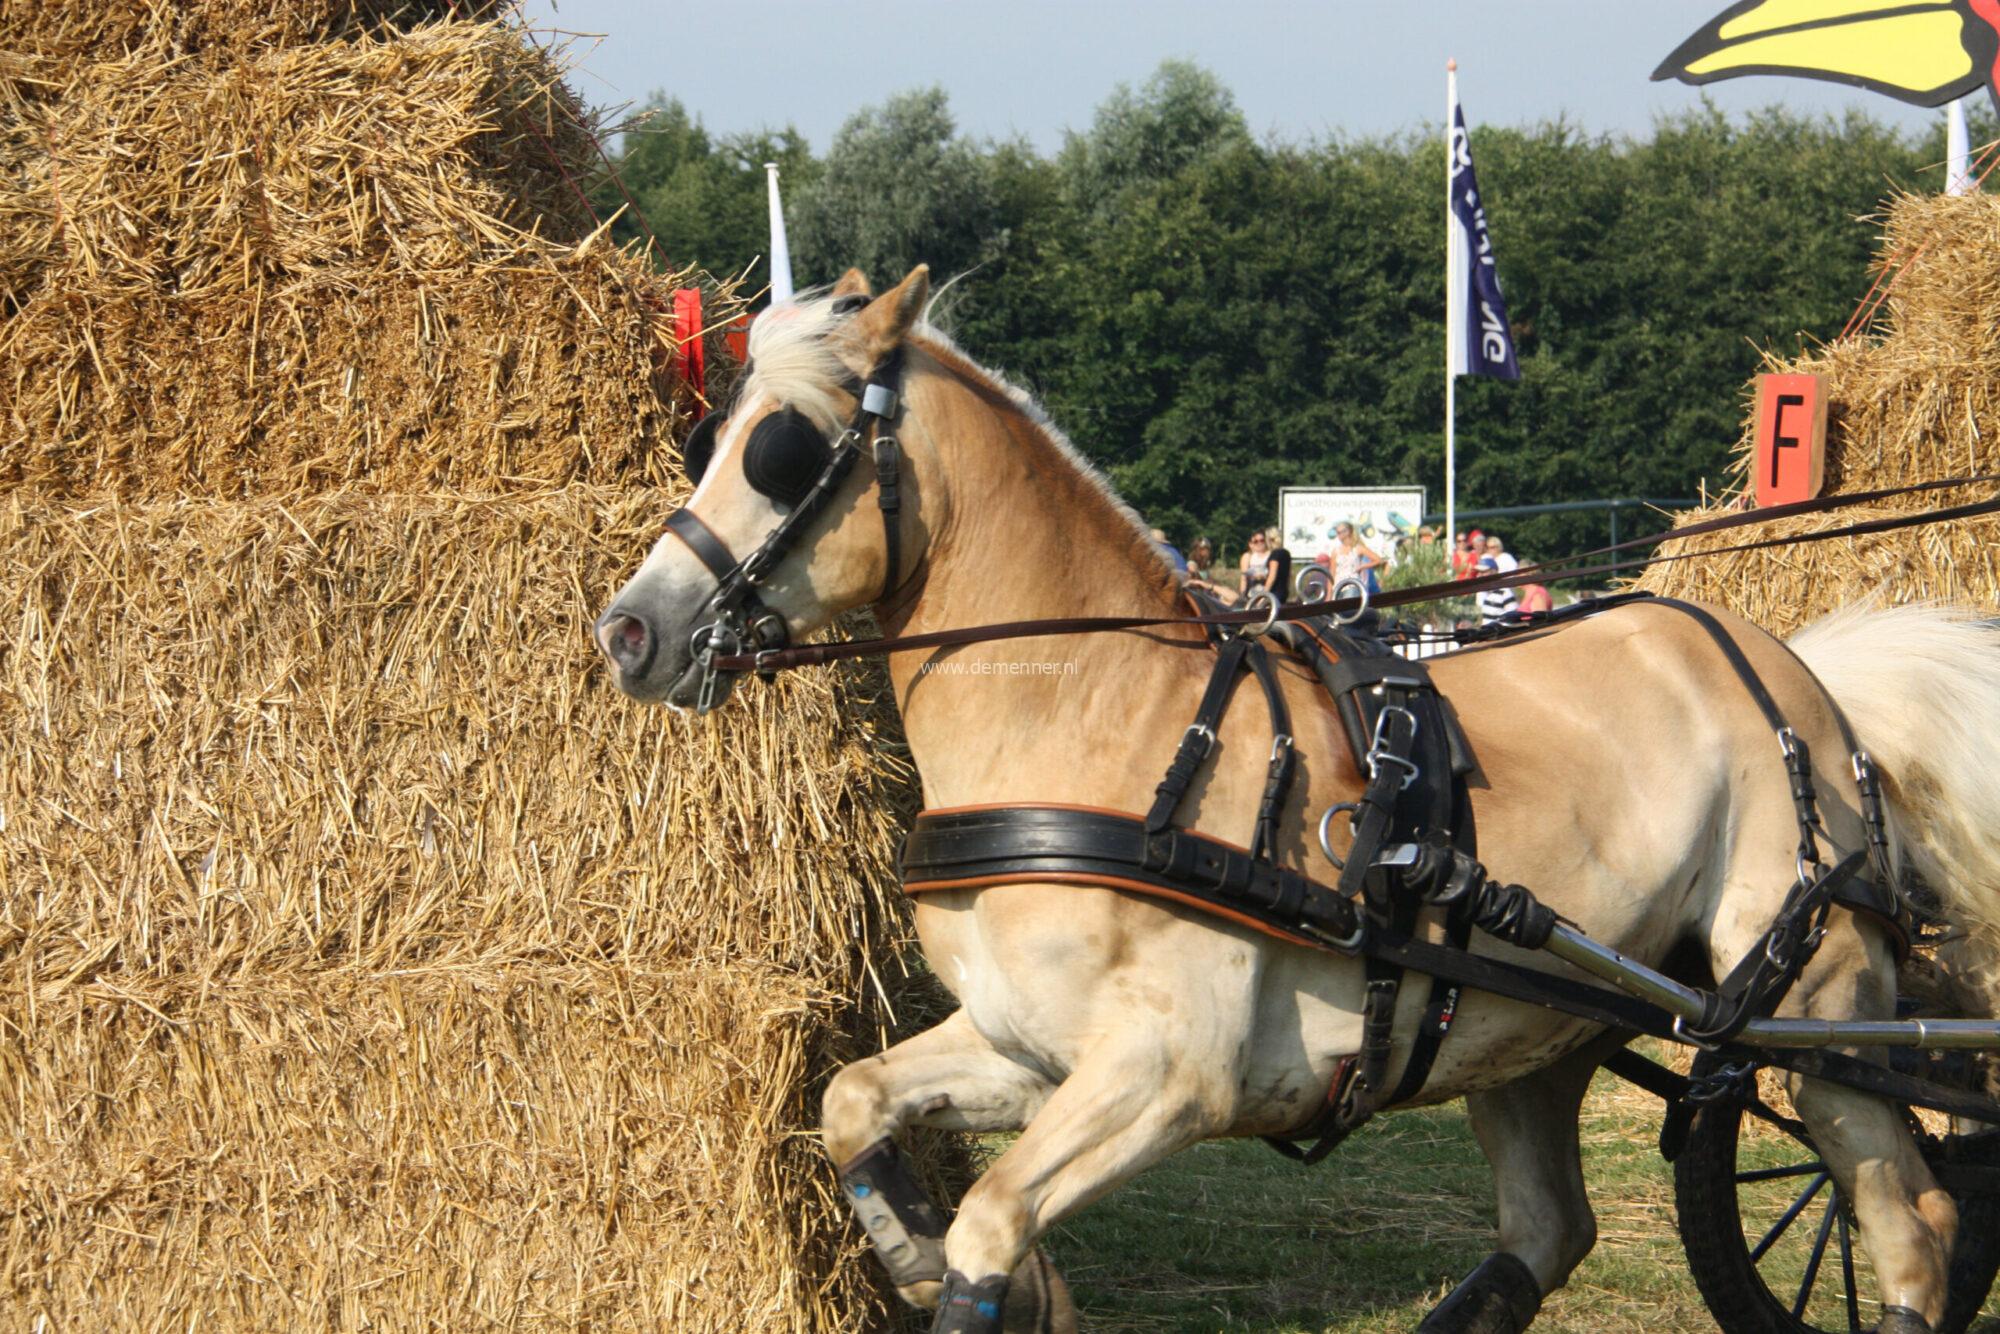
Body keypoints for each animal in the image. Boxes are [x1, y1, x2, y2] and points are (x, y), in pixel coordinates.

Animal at [588, 266, 2000, 1328]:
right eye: (711, 434)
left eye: (780, 451)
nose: (629, 631)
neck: (1102, 728)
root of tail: (1800, 674)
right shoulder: (1019, 1045)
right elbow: (851, 1105)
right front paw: (923, 1260)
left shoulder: (1166, 1076)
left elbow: (991, 1223)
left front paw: (978, 1274)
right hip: (1530, 1028)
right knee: (1548, 1230)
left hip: (1813, 1013)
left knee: (1915, 1220)